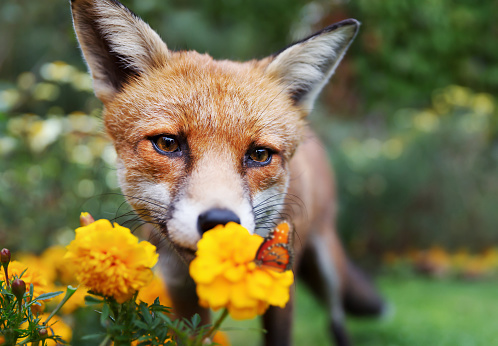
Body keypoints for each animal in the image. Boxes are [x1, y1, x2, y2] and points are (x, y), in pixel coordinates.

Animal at [70, 0, 384, 344]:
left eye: (260, 154)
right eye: (167, 143)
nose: (220, 222)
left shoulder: (280, 284)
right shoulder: (179, 291)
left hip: (326, 261)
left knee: (336, 316)